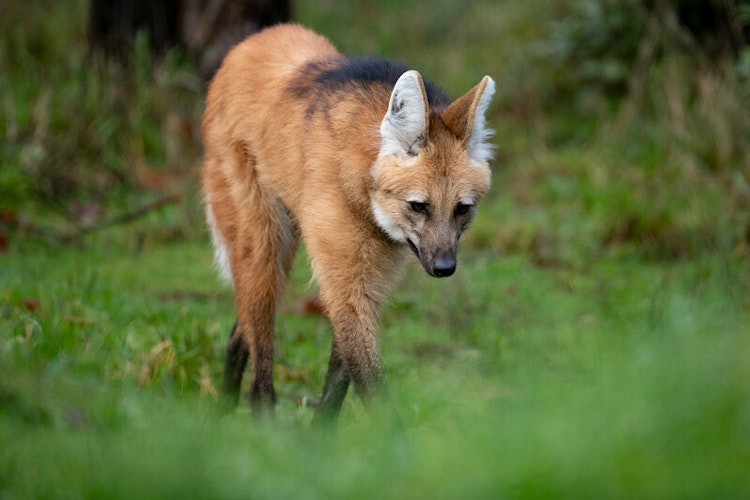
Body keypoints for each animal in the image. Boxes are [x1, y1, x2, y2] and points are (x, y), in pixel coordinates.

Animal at [203, 23, 496, 422]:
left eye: (462, 209)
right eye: (418, 206)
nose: (444, 268)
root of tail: (251, 42)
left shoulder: (368, 279)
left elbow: (338, 382)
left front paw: (319, 434)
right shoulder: (346, 280)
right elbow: (371, 386)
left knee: (240, 331)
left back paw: (223, 414)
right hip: (263, 236)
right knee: (258, 341)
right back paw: (260, 422)